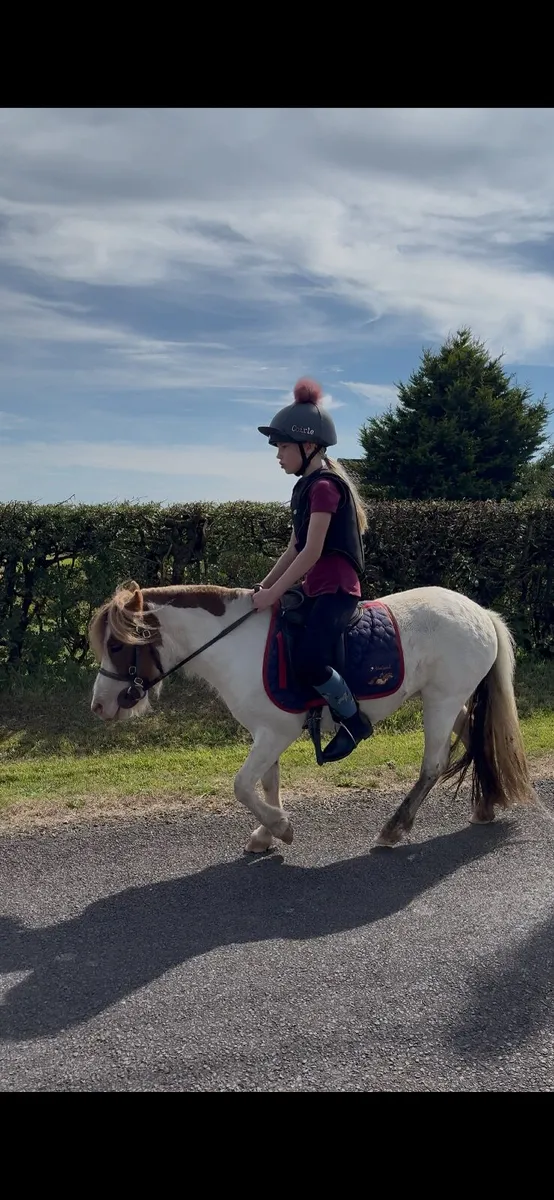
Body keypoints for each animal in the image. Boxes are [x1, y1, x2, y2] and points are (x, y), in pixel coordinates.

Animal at [89, 580, 534, 852]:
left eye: (116, 644)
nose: (99, 706)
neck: (237, 644)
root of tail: (481, 612)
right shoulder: (265, 733)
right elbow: (266, 783)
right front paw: (265, 834)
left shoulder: (277, 732)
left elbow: (242, 786)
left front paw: (280, 828)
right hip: (449, 701)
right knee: (476, 737)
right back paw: (485, 806)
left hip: (440, 701)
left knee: (433, 765)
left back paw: (394, 828)